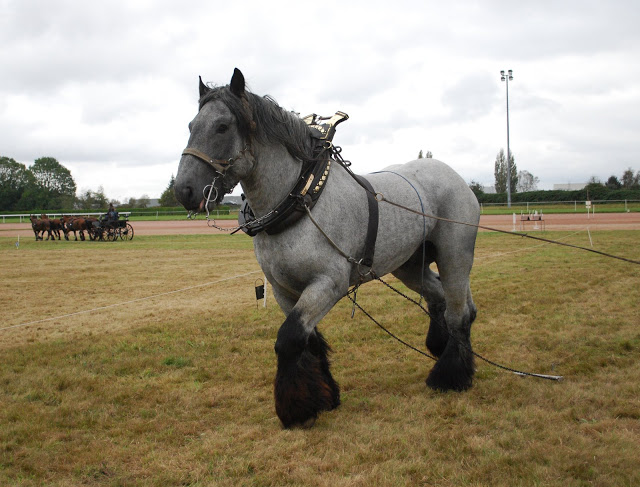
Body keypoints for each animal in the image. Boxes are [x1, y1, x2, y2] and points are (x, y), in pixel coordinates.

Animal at [175, 69, 480, 430]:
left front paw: (295, 410)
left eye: (222, 127)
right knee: (439, 298)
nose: (183, 190)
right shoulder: (282, 289)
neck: (301, 198)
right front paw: (325, 397)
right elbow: (310, 342)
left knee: (459, 312)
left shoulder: (329, 283)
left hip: (454, 254)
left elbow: (290, 338)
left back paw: (450, 376)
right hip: (409, 264)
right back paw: (440, 348)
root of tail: (454, 176)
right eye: (191, 125)